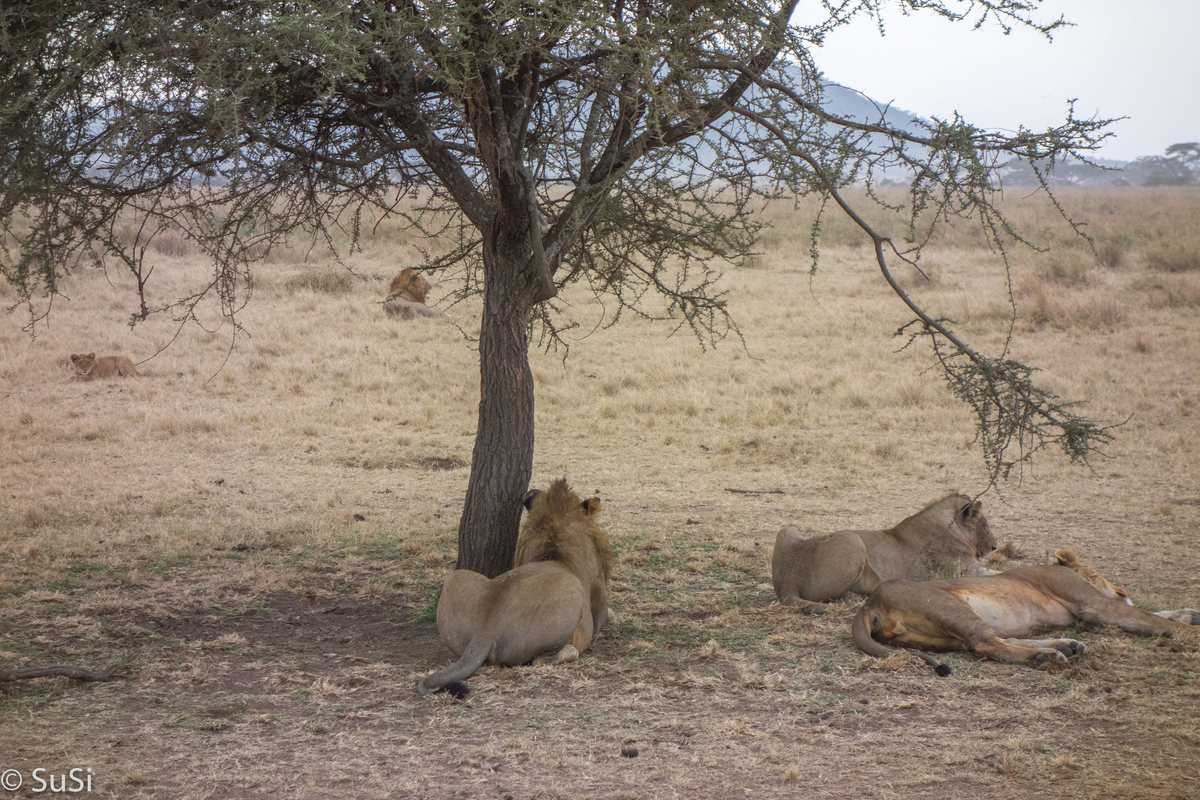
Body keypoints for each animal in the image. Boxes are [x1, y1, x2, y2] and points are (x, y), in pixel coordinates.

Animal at [417, 479, 614, 695]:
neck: (555, 548)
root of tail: (485, 631)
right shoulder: (598, 606)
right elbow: (607, 614)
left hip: (456, 577)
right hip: (573, 595)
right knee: (544, 659)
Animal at [772, 494, 998, 614]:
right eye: (985, 526)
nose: (995, 547)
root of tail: (790, 581)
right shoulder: (963, 569)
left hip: (787, 530)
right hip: (853, 540)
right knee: (842, 597)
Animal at [854, 546, 1200, 671]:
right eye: (1098, 571)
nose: (1123, 590)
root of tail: (869, 603)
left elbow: (1151, 615)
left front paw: (1189, 613)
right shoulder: (1092, 605)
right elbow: (1146, 617)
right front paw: (1190, 628)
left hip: (943, 636)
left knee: (995, 641)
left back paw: (1064, 646)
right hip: (952, 608)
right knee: (988, 645)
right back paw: (1047, 656)